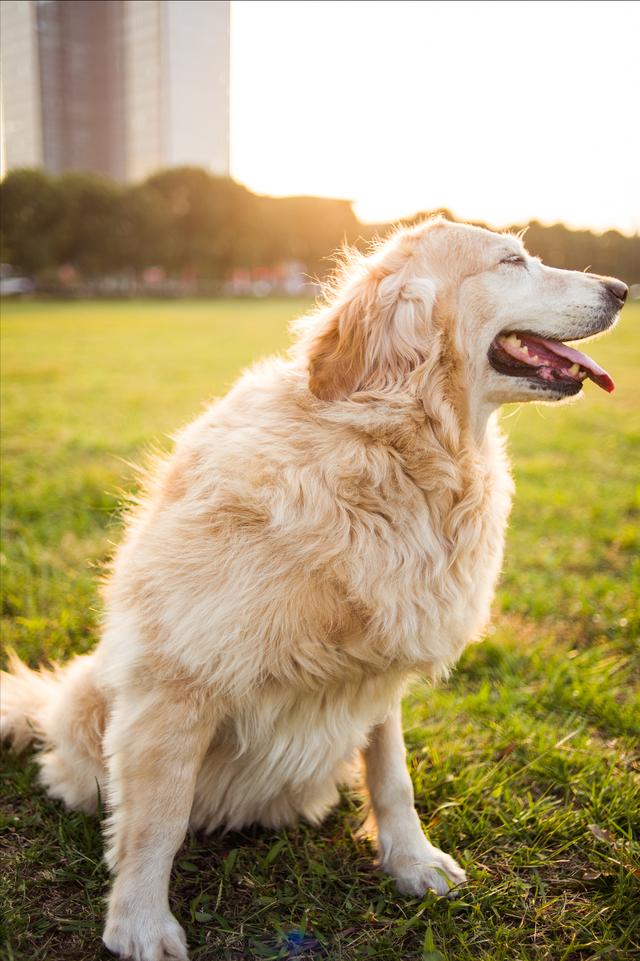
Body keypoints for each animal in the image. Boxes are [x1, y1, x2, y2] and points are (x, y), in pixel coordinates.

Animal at [2, 219, 628, 960]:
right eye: (511, 261)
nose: (622, 288)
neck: (394, 448)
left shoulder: (379, 669)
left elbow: (394, 777)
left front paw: (411, 862)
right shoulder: (177, 676)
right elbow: (156, 817)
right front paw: (141, 924)